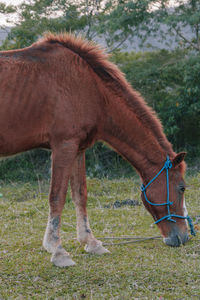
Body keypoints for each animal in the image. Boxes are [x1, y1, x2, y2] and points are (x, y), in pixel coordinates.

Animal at [0, 32, 191, 268]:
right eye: (182, 188)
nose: (184, 236)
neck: (90, 89)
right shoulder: (64, 145)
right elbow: (57, 197)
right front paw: (57, 250)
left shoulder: (78, 149)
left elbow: (80, 194)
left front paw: (91, 243)